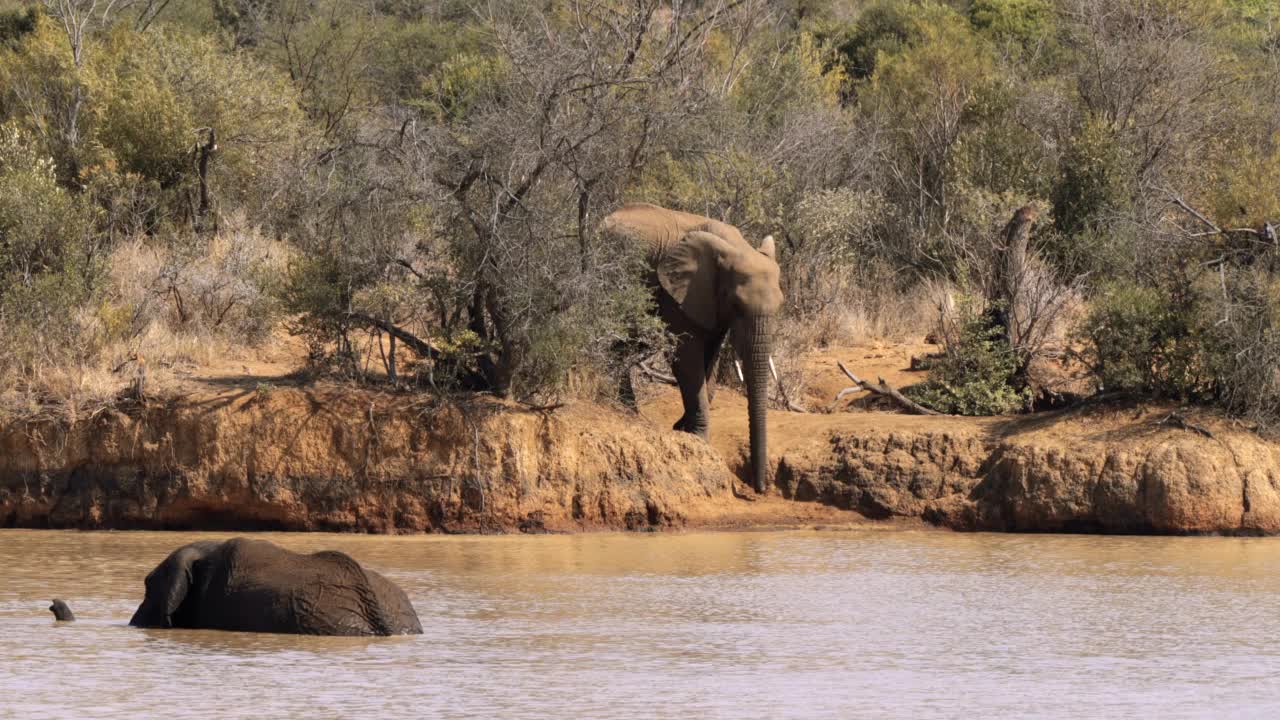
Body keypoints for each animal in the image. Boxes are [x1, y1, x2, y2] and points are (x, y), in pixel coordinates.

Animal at [601, 202, 783, 491]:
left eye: (781, 305)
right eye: (737, 306)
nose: (760, 488)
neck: (735, 246)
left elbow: (711, 360)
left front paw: (682, 428)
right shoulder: (676, 294)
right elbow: (685, 358)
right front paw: (697, 437)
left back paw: (629, 410)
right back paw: (625, 410)